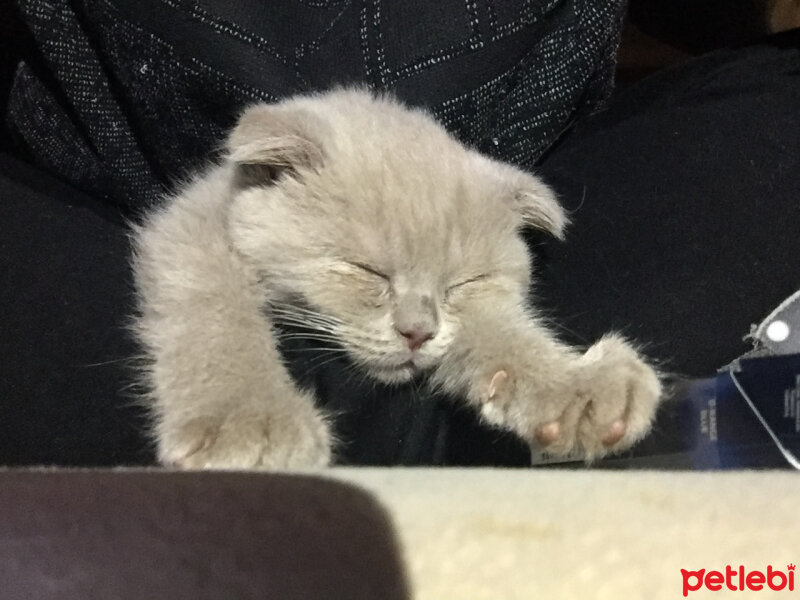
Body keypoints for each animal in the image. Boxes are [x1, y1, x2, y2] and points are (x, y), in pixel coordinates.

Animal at [134, 89, 664, 468]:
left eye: (461, 284)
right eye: (367, 271)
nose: (417, 332)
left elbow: (499, 332)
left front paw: (573, 384)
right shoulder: (191, 223)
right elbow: (215, 308)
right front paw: (249, 419)